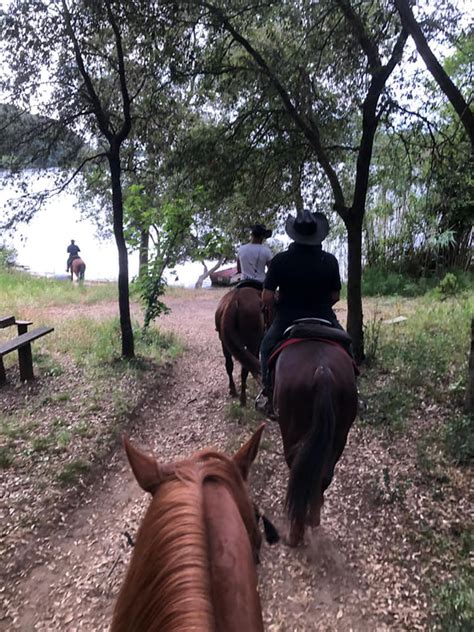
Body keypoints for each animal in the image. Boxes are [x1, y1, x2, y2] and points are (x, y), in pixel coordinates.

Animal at [272, 338, 358, 544]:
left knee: (298, 473)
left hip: (291, 431)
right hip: (340, 434)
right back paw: (313, 518)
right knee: (323, 475)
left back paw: (294, 534)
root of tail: (322, 372)